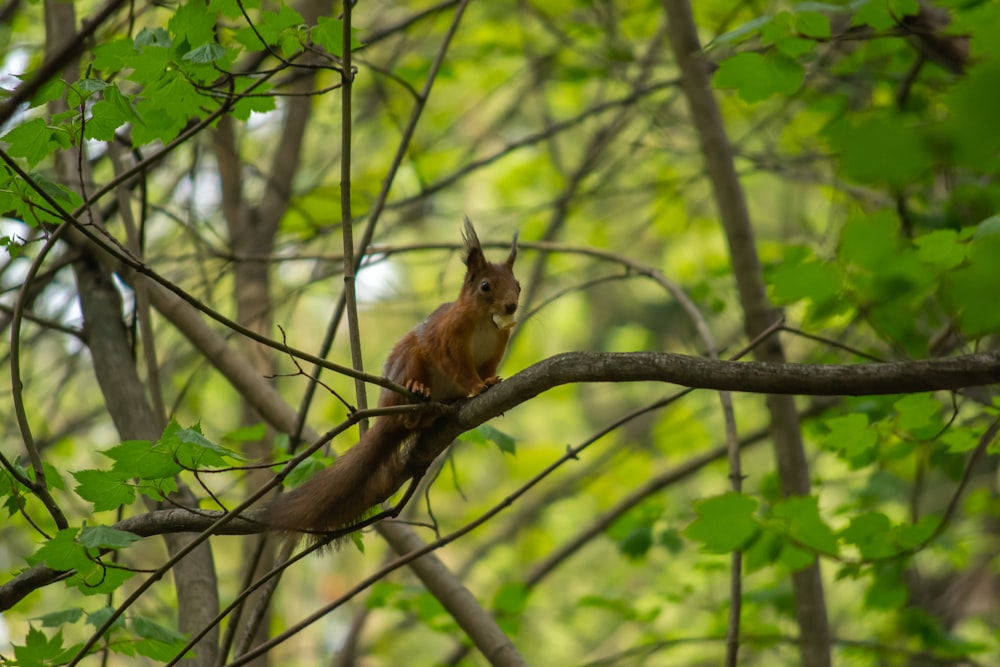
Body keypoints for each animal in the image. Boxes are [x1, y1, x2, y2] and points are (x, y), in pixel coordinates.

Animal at [266, 219, 520, 544]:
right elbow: (457, 368)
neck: (485, 322)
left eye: (518, 285)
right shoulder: (447, 338)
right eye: (485, 286)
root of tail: (387, 412)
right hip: (409, 360)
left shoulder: (496, 348)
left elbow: (487, 368)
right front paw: (477, 387)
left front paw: (492, 381)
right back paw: (418, 396)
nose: (511, 306)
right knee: (408, 411)